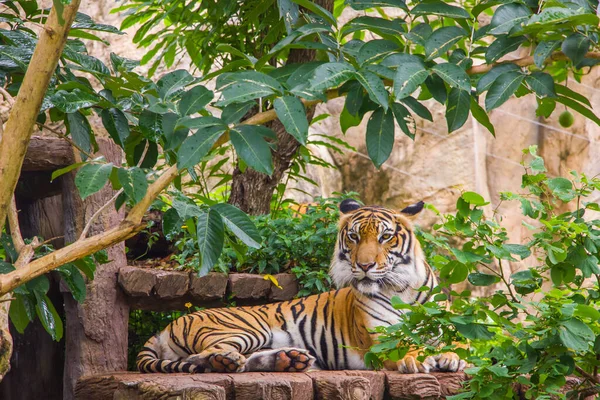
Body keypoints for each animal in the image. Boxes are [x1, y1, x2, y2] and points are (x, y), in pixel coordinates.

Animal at [138, 200, 466, 376]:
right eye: (354, 237)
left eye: (385, 237)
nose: (364, 265)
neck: (401, 290)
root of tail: (166, 327)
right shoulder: (379, 338)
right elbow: (404, 346)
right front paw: (420, 358)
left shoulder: (447, 326)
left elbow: (462, 343)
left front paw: (453, 356)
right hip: (244, 330)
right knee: (204, 357)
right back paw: (226, 361)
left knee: (245, 363)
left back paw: (288, 359)